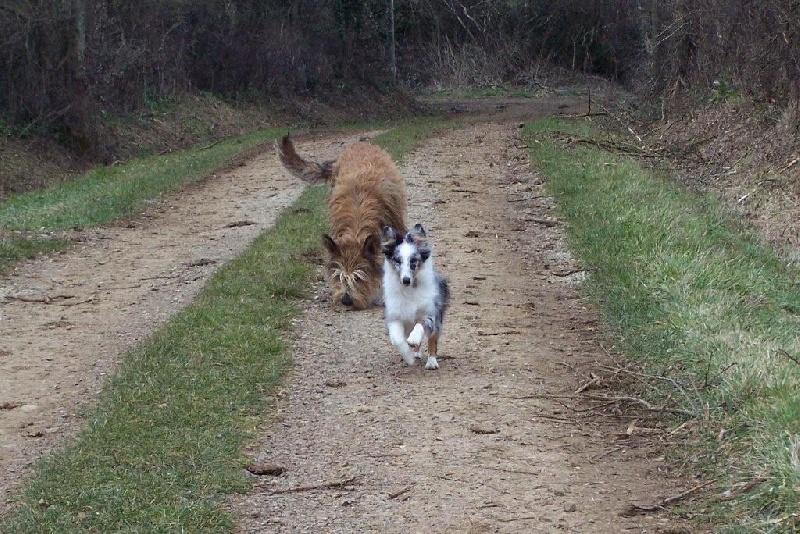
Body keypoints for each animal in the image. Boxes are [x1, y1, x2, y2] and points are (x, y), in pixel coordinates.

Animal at [382, 224, 450, 370]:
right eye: (397, 261)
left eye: (413, 261)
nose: (406, 280)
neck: (409, 289)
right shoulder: (395, 316)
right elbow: (396, 340)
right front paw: (408, 357)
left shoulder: (430, 314)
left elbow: (420, 325)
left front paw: (413, 339)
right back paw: (416, 354)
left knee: (432, 340)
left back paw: (431, 362)